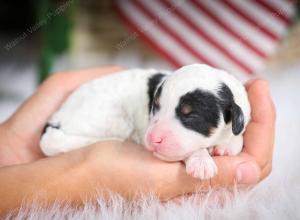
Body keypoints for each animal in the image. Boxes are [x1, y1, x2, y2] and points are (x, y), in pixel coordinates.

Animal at [40, 63, 251, 179]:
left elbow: (238, 132)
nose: (153, 139)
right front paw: (201, 161)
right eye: (155, 106)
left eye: (190, 115)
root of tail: (55, 118)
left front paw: (228, 145)